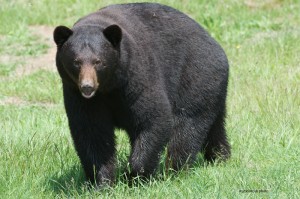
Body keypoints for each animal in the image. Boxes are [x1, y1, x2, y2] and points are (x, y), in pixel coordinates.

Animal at [53, 2, 230, 186]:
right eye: (76, 62)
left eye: (98, 62)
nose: (87, 86)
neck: (109, 87)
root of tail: (216, 45)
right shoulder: (79, 96)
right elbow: (92, 132)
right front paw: (101, 181)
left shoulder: (137, 76)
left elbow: (153, 118)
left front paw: (135, 177)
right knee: (215, 126)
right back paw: (220, 157)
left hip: (195, 79)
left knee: (187, 127)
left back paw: (174, 171)